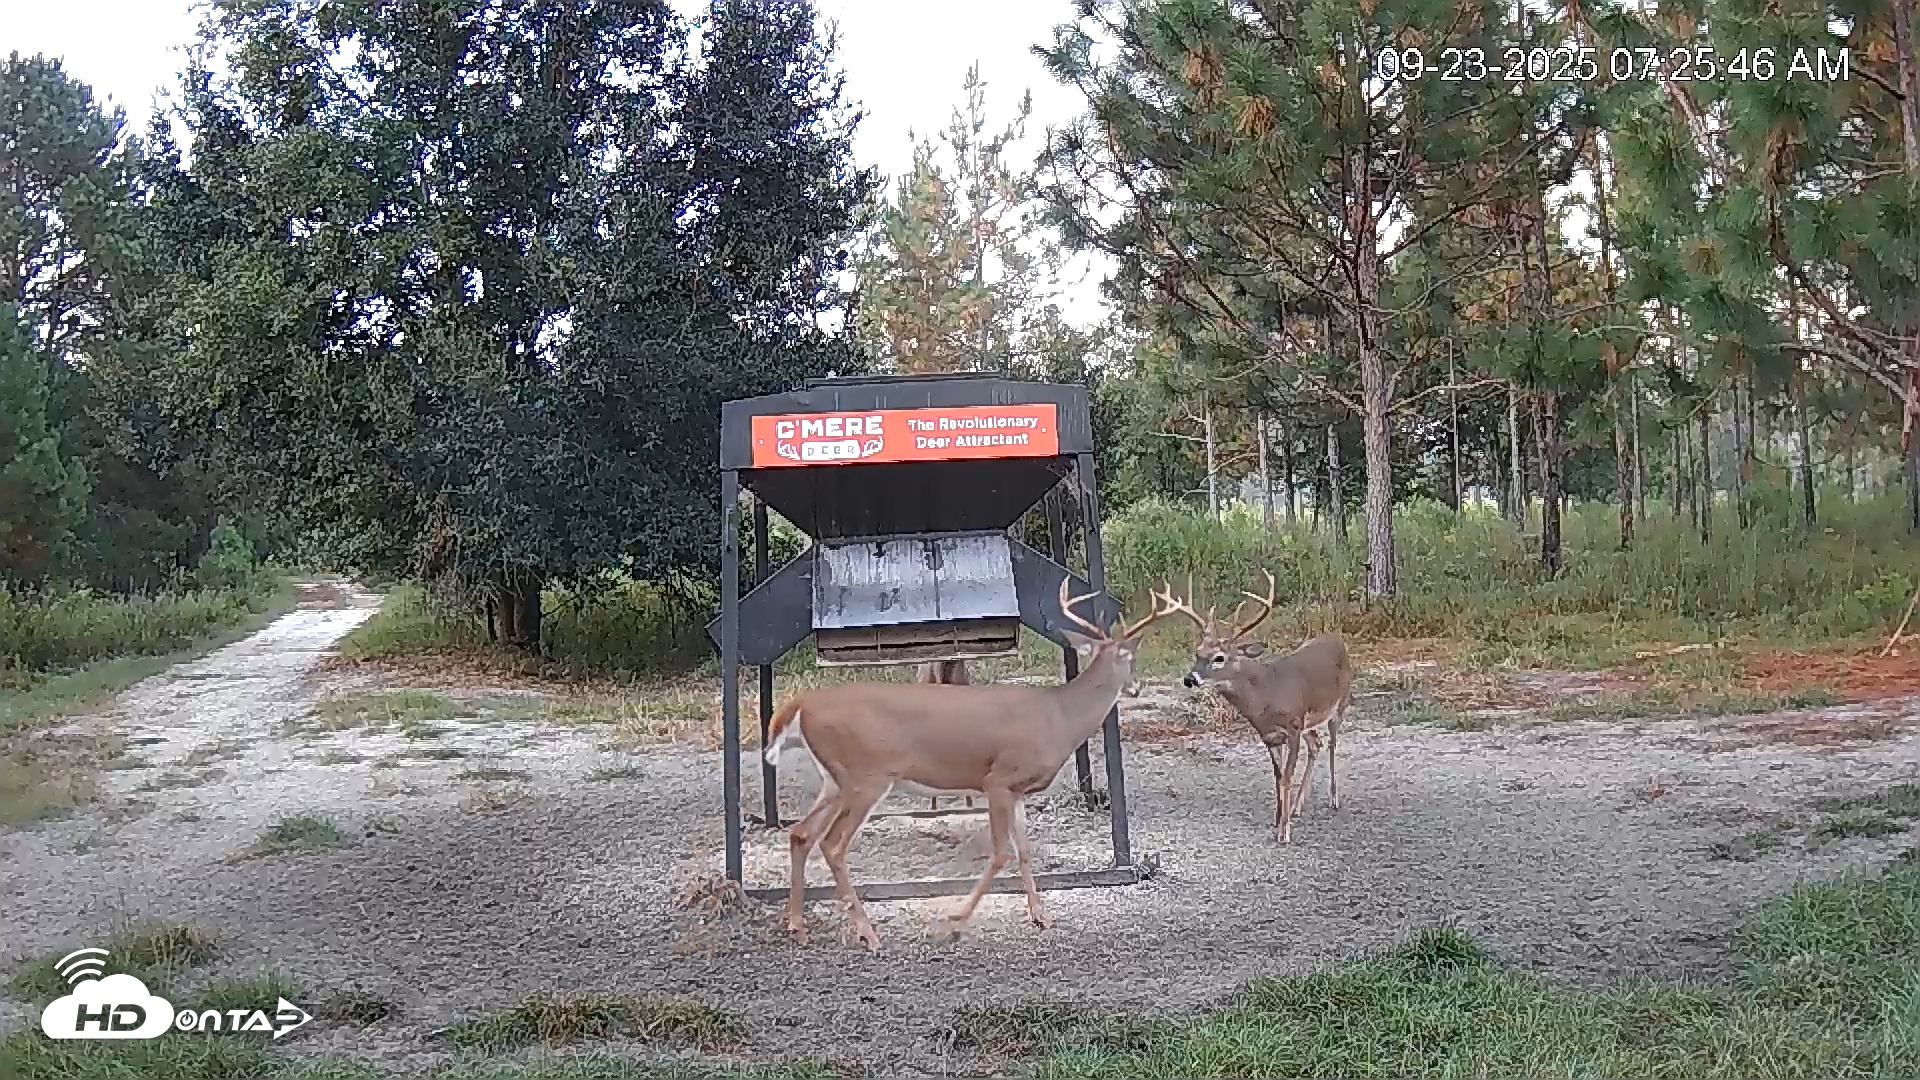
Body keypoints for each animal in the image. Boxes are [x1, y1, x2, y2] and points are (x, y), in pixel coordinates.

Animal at [762, 577, 1176, 951]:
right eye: (1129, 658)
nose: (1136, 688)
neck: (1059, 718)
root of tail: (802, 705)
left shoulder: (1019, 791)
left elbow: (1025, 851)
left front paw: (1041, 915)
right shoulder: (998, 779)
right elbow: (1001, 853)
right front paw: (954, 922)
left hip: (836, 780)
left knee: (800, 834)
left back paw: (797, 926)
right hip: (867, 775)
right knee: (832, 844)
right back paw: (868, 934)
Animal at [1156, 571, 1353, 845]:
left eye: (1219, 657)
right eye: (1198, 652)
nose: (1189, 679)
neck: (1266, 696)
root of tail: (1336, 637)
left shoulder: (1293, 726)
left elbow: (1287, 777)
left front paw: (1284, 832)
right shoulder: (1270, 736)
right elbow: (1278, 778)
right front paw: (1279, 819)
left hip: (1339, 703)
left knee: (1333, 744)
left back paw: (1334, 798)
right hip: (1310, 721)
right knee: (1317, 743)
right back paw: (1298, 807)